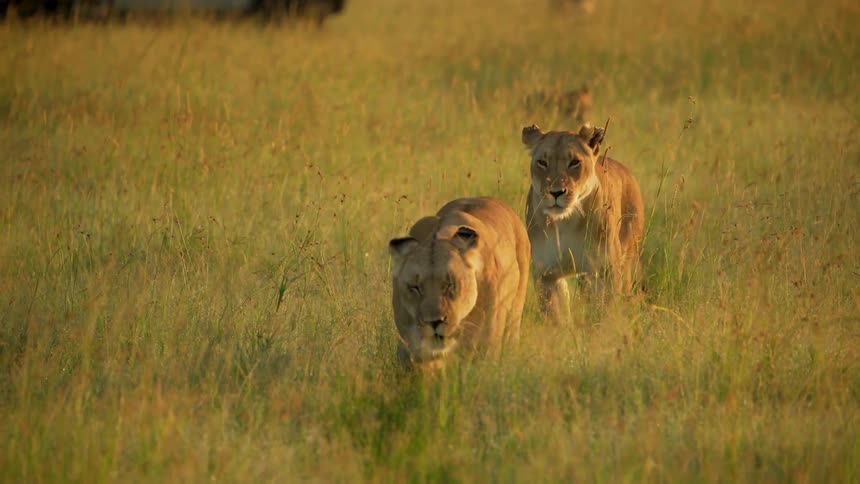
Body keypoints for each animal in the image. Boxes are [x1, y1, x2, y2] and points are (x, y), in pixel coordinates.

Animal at [521, 124, 644, 325]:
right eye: (542, 162)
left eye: (574, 162)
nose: (556, 192)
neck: (566, 223)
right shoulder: (546, 273)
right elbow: (555, 316)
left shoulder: (605, 270)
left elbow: (603, 312)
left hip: (627, 257)